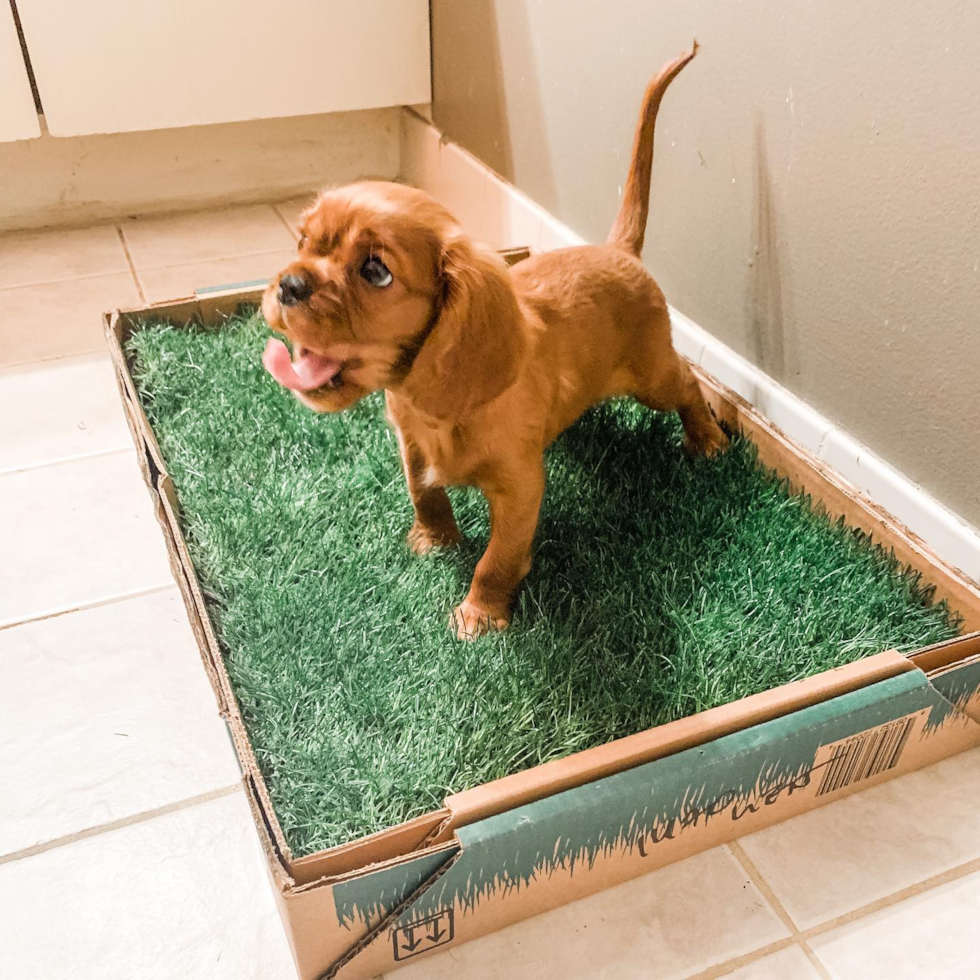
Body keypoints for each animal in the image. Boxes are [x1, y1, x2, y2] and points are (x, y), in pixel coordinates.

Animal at [264, 42, 724, 640]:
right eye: (302, 241)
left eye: (376, 272)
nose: (288, 285)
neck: (431, 404)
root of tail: (618, 250)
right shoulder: (410, 446)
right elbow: (426, 494)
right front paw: (434, 541)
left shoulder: (521, 487)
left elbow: (498, 559)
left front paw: (480, 614)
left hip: (652, 376)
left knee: (690, 385)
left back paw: (708, 439)